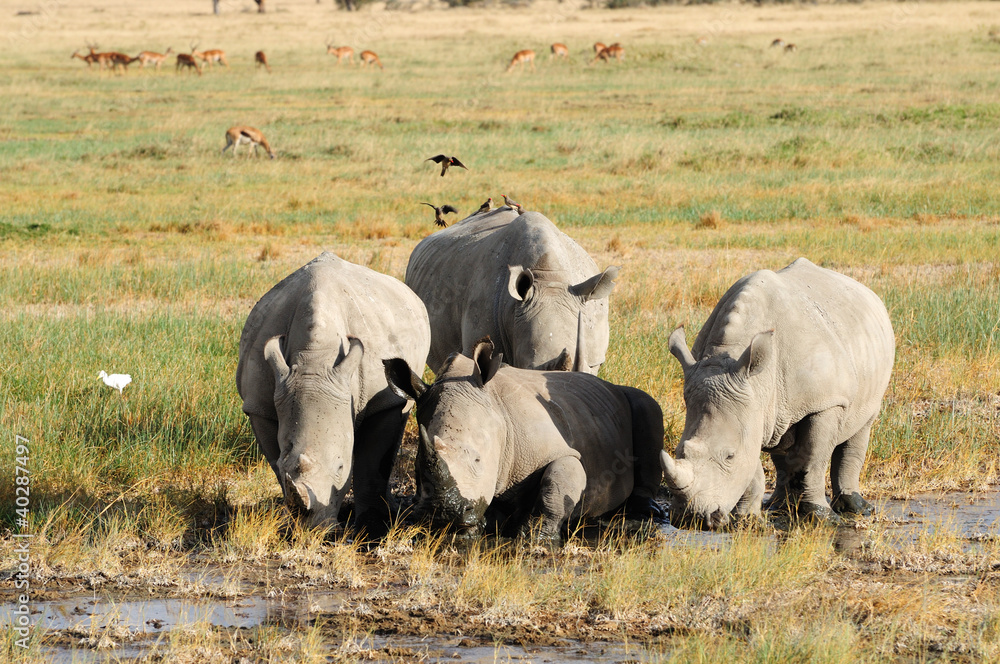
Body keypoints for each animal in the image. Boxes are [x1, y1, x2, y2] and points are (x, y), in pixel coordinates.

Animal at [236, 252, 431, 534]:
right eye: (286, 465)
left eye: (341, 467)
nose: (316, 532)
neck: (314, 361)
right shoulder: (258, 405)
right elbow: (275, 463)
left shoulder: (384, 401)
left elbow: (372, 466)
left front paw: (372, 527)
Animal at [384, 337, 664, 540]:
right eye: (417, 468)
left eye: (477, 460)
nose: (444, 514)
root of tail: (606, 383)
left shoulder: (561, 450)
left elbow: (555, 486)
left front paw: (534, 538)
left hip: (628, 400)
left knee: (647, 407)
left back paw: (645, 513)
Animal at [661, 258, 895, 529]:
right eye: (680, 451)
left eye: (729, 456)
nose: (691, 518)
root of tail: (869, 292)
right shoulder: (750, 404)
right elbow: (753, 462)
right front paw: (747, 521)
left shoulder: (825, 403)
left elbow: (813, 459)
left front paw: (821, 517)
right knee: (782, 441)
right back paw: (778, 506)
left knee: (861, 425)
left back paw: (857, 508)